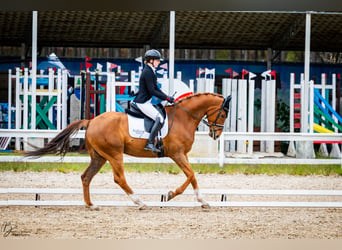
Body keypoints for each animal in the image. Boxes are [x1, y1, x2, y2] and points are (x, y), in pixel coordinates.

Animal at [25, 93, 231, 210]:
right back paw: (139, 202)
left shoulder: (182, 155)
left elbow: (192, 176)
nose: (216, 133)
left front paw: (203, 201)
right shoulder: (177, 154)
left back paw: (91, 205)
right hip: (114, 154)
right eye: (223, 114)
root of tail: (92, 121)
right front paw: (171, 194)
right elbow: (191, 175)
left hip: (99, 156)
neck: (183, 117)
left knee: (86, 177)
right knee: (119, 178)